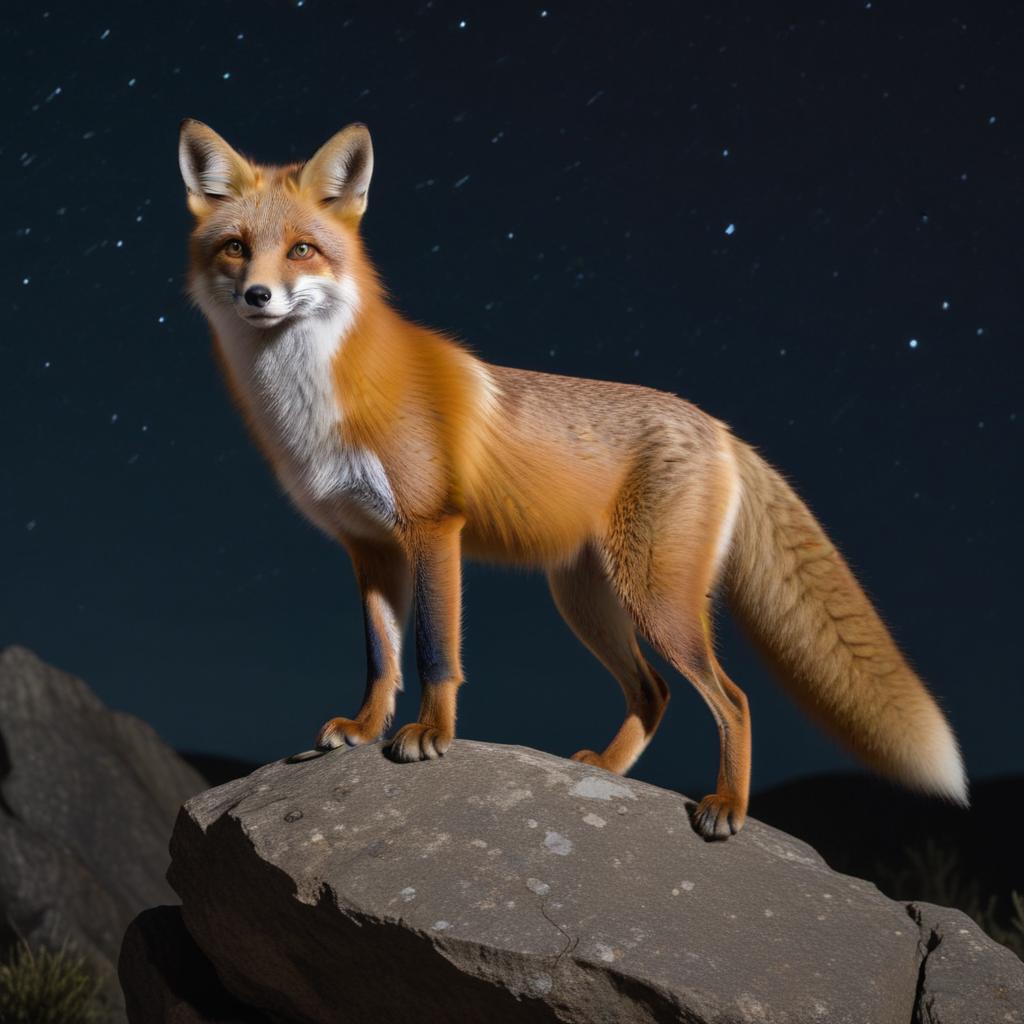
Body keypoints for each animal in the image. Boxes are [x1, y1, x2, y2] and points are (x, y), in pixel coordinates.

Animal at [178, 118, 968, 840]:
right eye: (236, 247)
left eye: (302, 249)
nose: (258, 296)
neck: (317, 402)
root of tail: (720, 427)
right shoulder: (368, 547)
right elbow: (381, 657)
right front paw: (366, 728)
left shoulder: (432, 530)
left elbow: (435, 652)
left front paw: (430, 737)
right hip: (588, 600)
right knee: (654, 693)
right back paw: (606, 775)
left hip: (656, 600)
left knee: (733, 699)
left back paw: (726, 808)